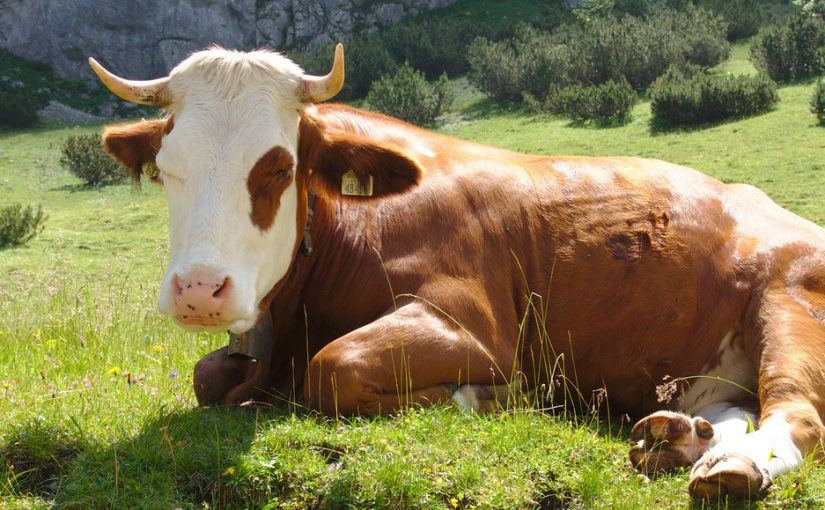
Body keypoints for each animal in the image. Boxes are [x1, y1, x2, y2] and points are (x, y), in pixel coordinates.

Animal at [90, 45, 824, 500]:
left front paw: (493, 398)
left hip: (789, 301)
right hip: (713, 367)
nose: (199, 291)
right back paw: (684, 439)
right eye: (167, 167)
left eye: (276, 167)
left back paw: (732, 465)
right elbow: (207, 377)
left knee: (795, 413)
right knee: (734, 408)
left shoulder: (474, 325)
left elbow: (335, 366)